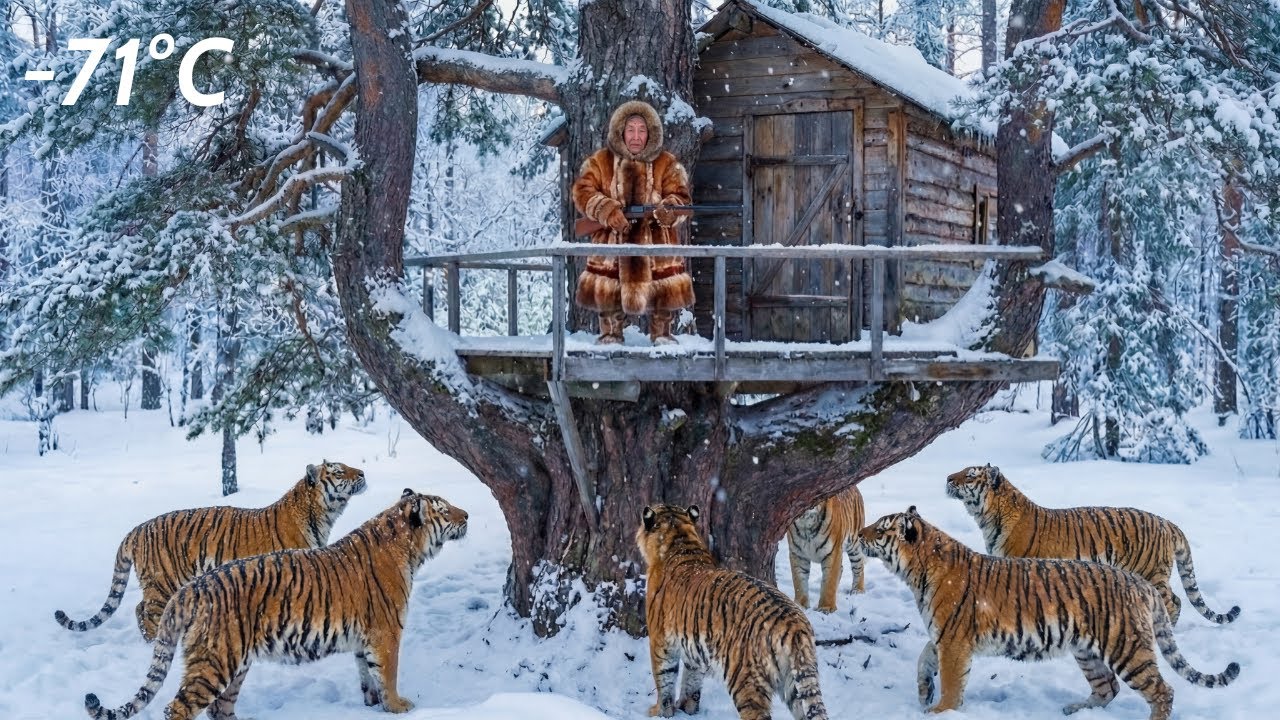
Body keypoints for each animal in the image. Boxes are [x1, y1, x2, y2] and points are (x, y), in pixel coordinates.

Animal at [56, 460, 367, 641]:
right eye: (339, 471)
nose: (363, 472)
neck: (323, 515)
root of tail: (137, 529)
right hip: (163, 582)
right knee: (145, 611)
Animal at [83, 488, 469, 720]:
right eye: (445, 509)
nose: (466, 515)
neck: (408, 548)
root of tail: (192, 589)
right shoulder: (386, 633)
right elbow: (388, 675)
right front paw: (400, 707)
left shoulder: (364, 640)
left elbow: (368, 677)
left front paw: (372, 706)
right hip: (214, 662)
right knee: (178, 708)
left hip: (235, 664)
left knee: (219, 709)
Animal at [637, 504, 828, 720]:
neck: (679, 539)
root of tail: (794, 625)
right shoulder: (693, 651)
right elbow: (691, 681)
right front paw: (687, 708)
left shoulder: (660, 641)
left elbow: (664, 680)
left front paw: (660, 711)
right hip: (795, 684)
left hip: (745, 680)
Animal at [858, 506, 1240, 720]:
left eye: (880, 528)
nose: (859, 533)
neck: (916, 570)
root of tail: (1140, 584)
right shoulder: (943, 635)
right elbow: (923, 658)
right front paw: (924, 692)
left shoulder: (954, 640)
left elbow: (952, 683)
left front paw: (940, 712)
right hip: (1087, 651)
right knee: (1108, 688)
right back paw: (1072, 711)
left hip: (1127, 647)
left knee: (1162, 691)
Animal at [945, 463, 1240, 625]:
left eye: (970, 475)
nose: (948, 478)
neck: (987, 518)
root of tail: (1168, 523)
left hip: (1152, 573)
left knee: (1175, 602)